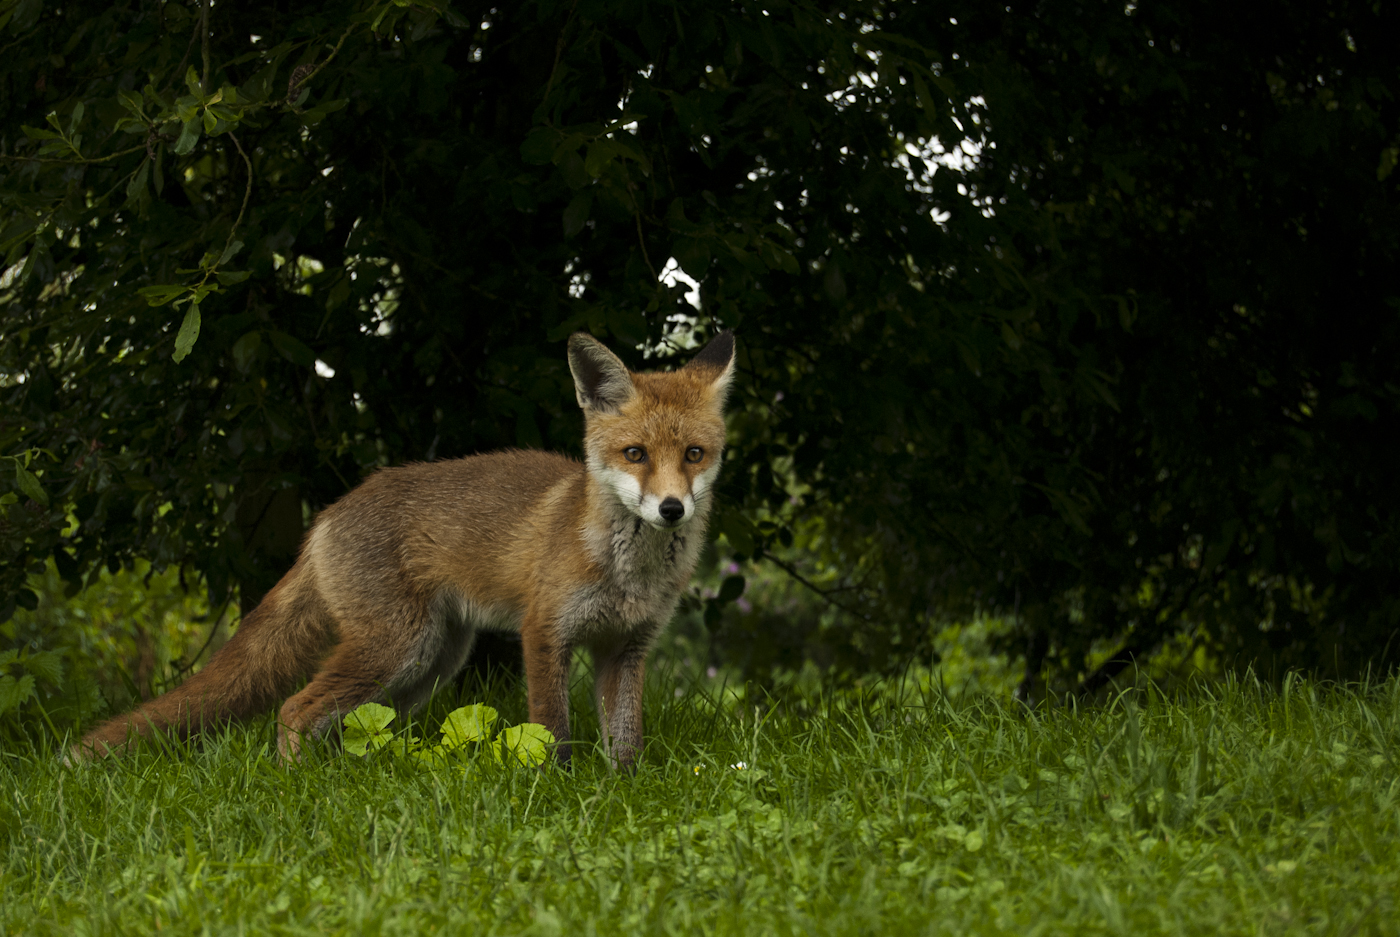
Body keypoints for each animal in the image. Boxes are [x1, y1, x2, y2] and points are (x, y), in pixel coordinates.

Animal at [76, 329, 739, 767]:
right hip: (398, 646)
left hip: (431, 661)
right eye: (635, 454)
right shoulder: (544, 632)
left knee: (365, 723)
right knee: (295, 709)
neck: (628, 571)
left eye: (693, 455)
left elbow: (626, 739)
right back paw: (296, 785)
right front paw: (556, 789)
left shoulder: (625, 647)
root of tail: (327, 516)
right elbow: (553, 727)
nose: (672, 508)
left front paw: (622, 790)